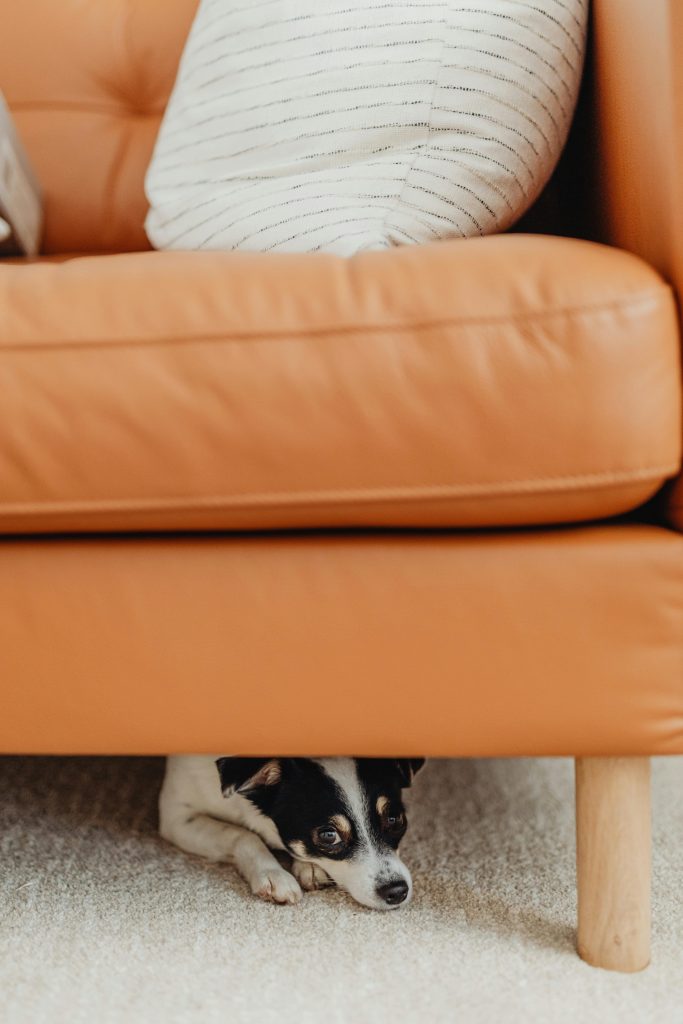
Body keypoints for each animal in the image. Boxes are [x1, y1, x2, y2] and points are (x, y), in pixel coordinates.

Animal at [160, 753, 423, 913]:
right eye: (329, 836)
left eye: (394, 819)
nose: (397, 891)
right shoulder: (176, 817)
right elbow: (243, 835)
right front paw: (273, 874)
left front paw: (309, 866)